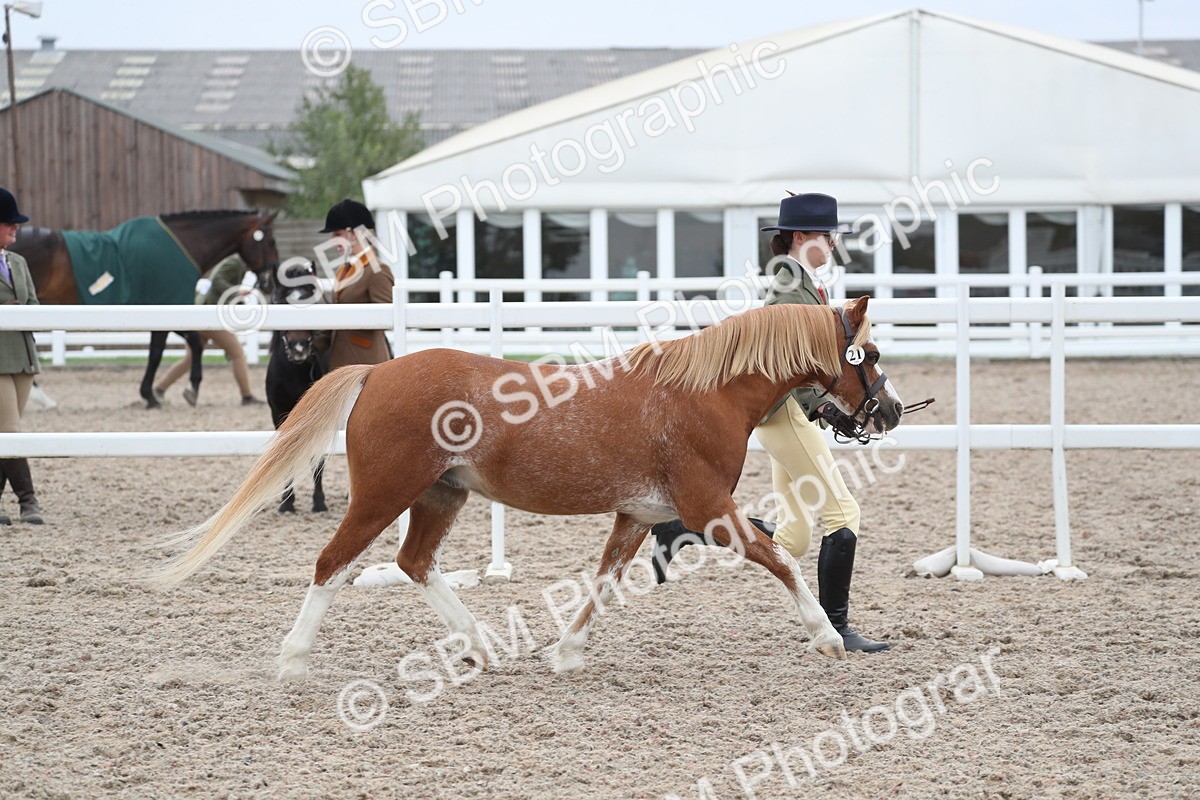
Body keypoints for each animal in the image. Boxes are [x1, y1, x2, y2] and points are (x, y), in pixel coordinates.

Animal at [14, 210, 279, 408]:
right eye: (270, 241)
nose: (269, 282)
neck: (184, 245)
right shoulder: (169, 306)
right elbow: (175, 348)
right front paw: (183, 389)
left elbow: (166, 350)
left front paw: (154, 394)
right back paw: (39, 397)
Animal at [153, 296, 903, 681]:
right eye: (867, 353)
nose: (891, 412)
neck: (702, 393)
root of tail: (379, 373)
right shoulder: (708, 509)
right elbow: (779, 561)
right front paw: (825, 637)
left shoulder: (638, 514)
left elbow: (603, 583)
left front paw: (565, 654)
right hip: (383, 497)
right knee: (333, 563)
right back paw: (292, 661)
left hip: (441, 495)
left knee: (414, 563)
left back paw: (479, 645)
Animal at [265, 260, 329, 514]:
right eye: (280, 301)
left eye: (312, 299)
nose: (298, 347)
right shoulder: (279, 414)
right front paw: (287, 502)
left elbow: (318, 459)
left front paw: (319, 501)